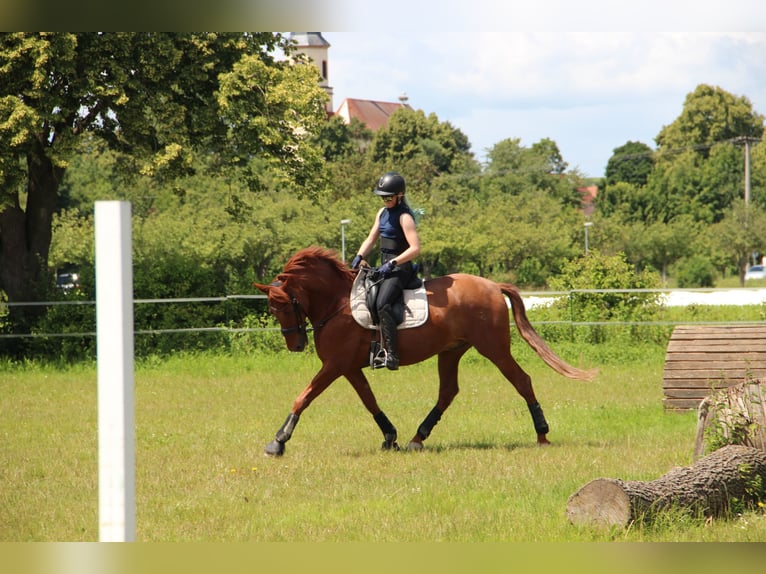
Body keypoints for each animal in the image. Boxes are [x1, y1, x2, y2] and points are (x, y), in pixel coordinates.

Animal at [255, 248, 596, 460]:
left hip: (494, 349)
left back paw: (542, 435)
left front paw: (278, 442)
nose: (295, 345)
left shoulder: (335, 365)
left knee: (522, 381)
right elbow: (369, 401)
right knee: (448, 391)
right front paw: (390, 436)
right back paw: (417, 438)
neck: (337, 304)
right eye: (273, 309)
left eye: (281, 306)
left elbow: (304, 397)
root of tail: (492, 285)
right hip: (451, 352)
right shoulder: (349, 367)